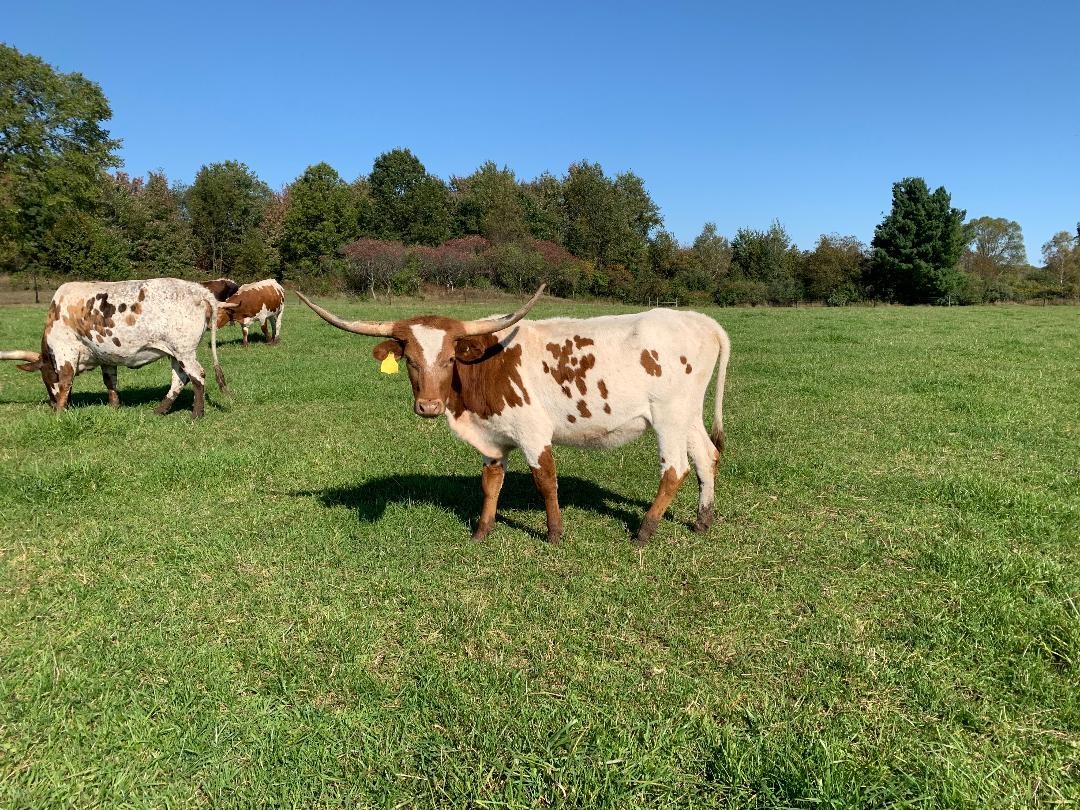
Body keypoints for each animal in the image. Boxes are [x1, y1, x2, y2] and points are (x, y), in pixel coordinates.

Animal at [0, 278, 232, 417]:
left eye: (46, 378)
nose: (51, 403)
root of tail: (199, 290)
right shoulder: (106, 356)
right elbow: (110, 380)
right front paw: (113, 406)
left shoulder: (65, 351)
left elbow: (65, 382)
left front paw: (59, 411)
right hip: (175, 352)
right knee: (180, 378)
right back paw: (160, 410)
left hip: (184, 350)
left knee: (197, 376)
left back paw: (196, 414)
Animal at [296, 285, 732, 546]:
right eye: (411, 360)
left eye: (450, 358)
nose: (429, 406)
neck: (485, 366)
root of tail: (703, 321)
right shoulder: (493, 439)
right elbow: (491, 484)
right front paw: (481, 531)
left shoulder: (533, 431)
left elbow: (545, 481)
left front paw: (555, 534)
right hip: (688, 414)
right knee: (706, 456)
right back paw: (703, 521)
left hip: (668, 416)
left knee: (675, 468)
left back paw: (644, 531)